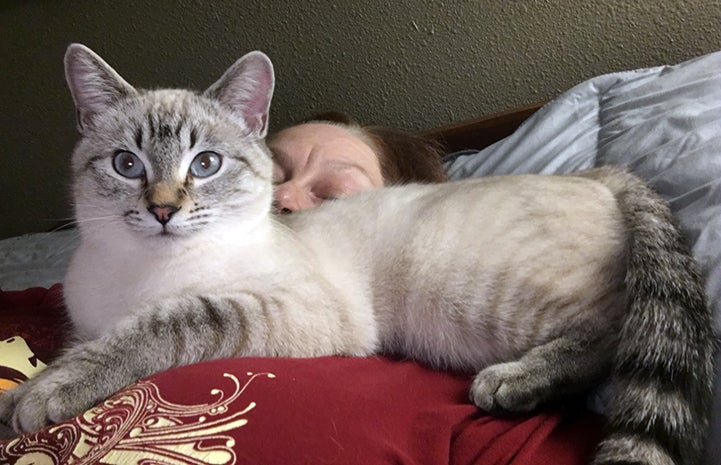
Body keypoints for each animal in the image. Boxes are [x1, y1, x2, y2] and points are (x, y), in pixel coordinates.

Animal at [0, 43, 716, 464]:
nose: (163, 209)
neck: (140, 271)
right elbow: (94, 338)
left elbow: (160, 327)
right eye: (128, 164)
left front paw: (40, 394)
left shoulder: (293, 309)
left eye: (205, 164)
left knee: (622, 329)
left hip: (484, 296)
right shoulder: (85, 318)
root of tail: (601, 173)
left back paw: (512, 383)